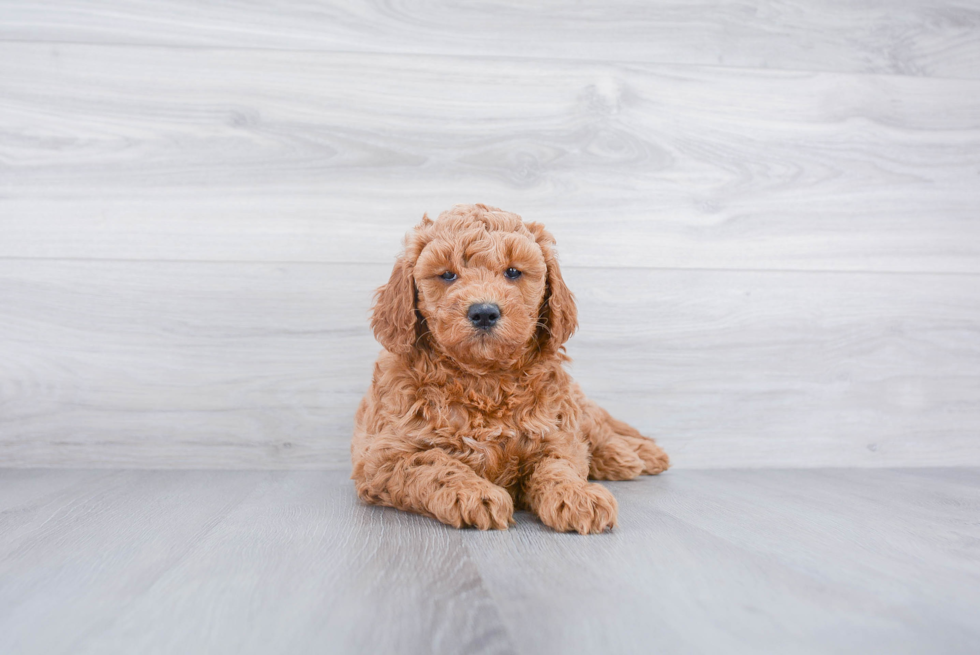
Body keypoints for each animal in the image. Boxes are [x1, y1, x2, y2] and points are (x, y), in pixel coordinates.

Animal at [352, 204, 668, 532]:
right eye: (448, 275)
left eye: (513, 272)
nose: (484, 312)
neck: (485, 380)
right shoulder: (384, 457)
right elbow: (435, 464)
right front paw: (474, 494)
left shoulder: (556, 431)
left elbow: (560, 464)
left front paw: (577, 496)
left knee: (599, 430)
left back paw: (637, 454)